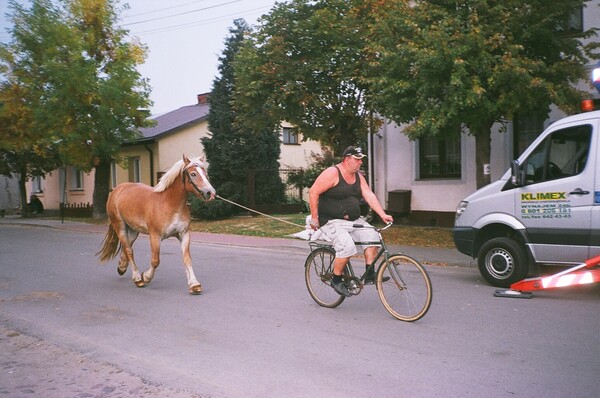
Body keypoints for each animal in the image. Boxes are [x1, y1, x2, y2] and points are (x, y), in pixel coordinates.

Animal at [98, 154, 218, 294]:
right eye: (193, 174)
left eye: (205, 173)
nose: (210, 193)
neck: (170, 204)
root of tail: (116, 189)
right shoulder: (155, 236)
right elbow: (155, 261)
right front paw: (146, 277)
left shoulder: (184, 234)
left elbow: (187, 259)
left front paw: (194, 284)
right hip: (120, 226)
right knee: (128, 250)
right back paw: (137, 278)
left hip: (133, 230)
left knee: (127, 247)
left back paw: (122, 267)